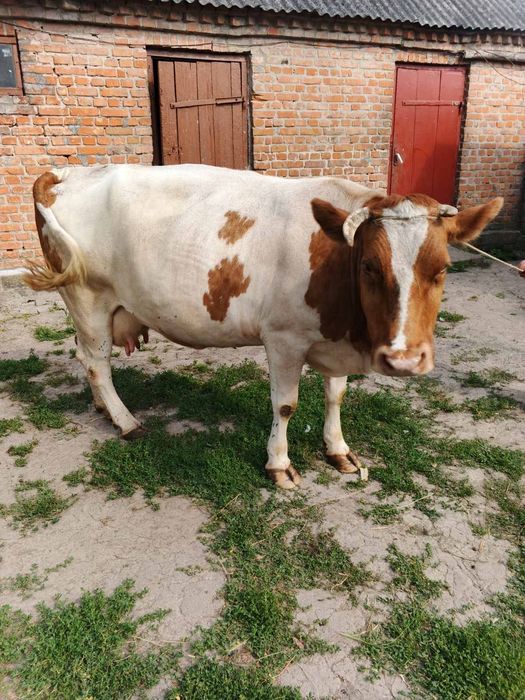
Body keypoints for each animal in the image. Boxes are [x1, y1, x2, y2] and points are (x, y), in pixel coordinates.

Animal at [25, 165, 503, 488]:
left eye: (442, 268)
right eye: (369, 265)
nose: (404, 359)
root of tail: (69, 171)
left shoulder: (334, 338)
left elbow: (336, 396)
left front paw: (339, 450)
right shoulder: (284, 339)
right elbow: (286, 405)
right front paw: (279, 464)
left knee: (87, 359)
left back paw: (104, 409)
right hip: (88, 298)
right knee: (96, 362)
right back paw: (125, 421)